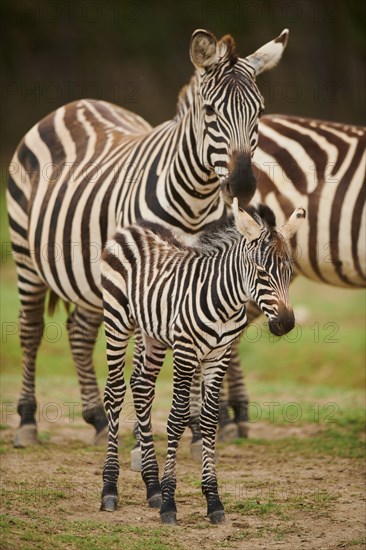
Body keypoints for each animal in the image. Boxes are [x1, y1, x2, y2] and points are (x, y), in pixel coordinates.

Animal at [5, 28, 288, 448]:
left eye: (259, 111)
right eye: (210, 111)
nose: (242, 185)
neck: (195, 199)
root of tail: (74, 104)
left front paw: (195, 431)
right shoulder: (149, 273)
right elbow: (147, 364)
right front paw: (148, 439)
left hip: (94, 275)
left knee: (79, 332)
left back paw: (97, 419)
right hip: (26, 255)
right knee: (31, 329)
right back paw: (27, 421)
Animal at [100, 199, 306, 528]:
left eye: (289, 272)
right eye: (261, 272)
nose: (285, 324)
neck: (226, 303)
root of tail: (136, 226)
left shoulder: (218, 356)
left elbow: (209, 421)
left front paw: (213, 501)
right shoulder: (186, 352)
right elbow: (176, 419)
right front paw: (169, 504)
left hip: (153, 334)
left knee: (142, 389)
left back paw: (151, 486)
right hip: (116, 319)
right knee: (115, 393)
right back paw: (110, 489)